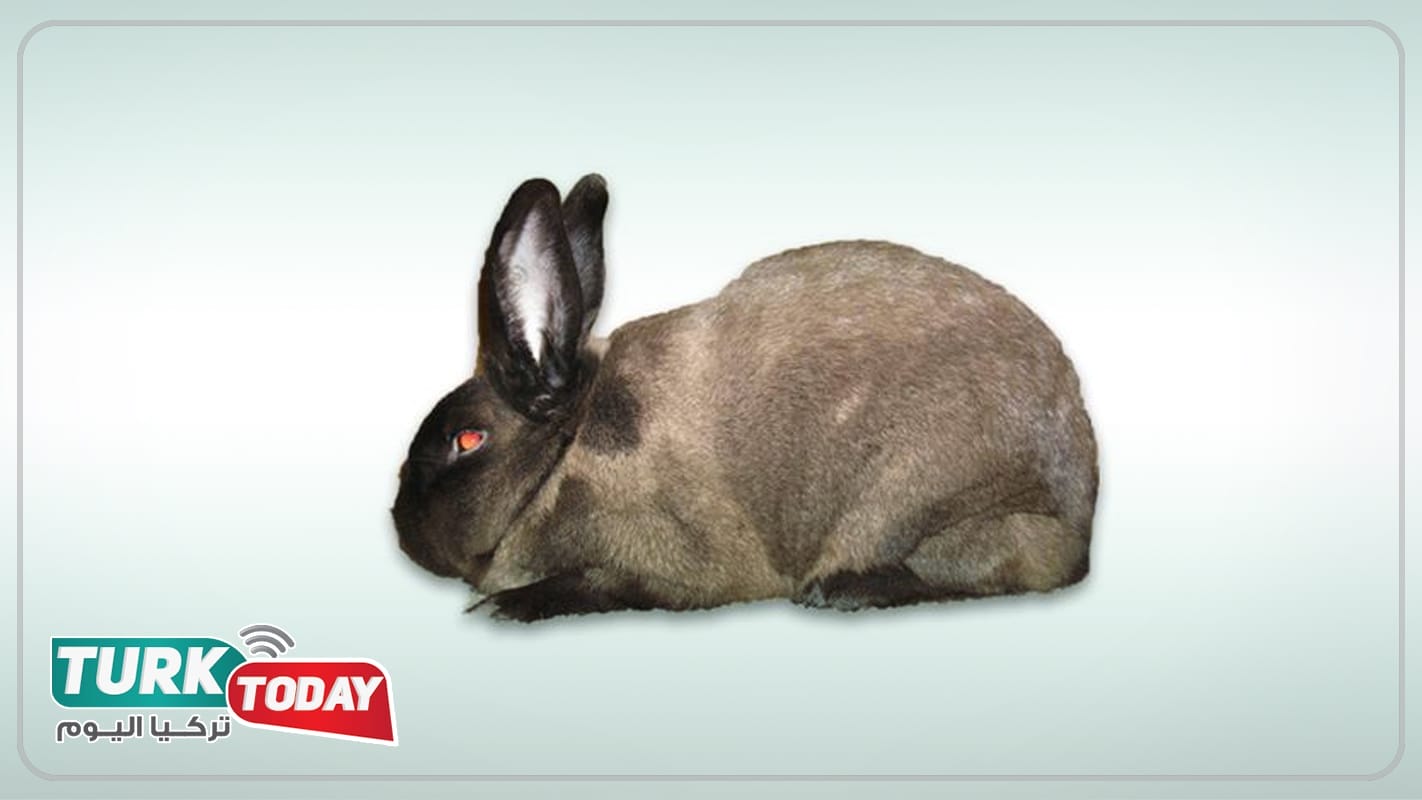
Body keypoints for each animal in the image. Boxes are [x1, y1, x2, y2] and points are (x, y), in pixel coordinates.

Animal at [391, 174, 1098, 622]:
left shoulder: (685, 566)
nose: (400, 526)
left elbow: (601, 580)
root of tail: (1083, 511)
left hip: (919, 504)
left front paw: (506, 605)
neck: (566, 454)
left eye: (468, 439)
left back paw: (840, 592)